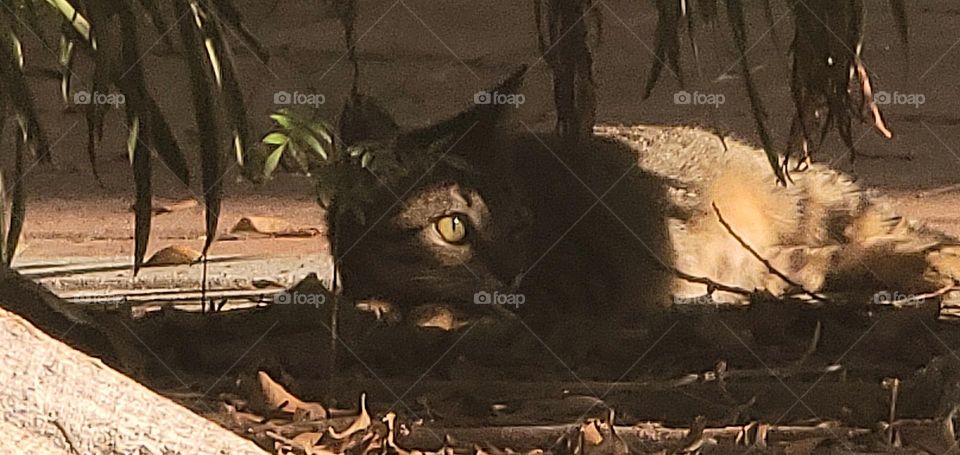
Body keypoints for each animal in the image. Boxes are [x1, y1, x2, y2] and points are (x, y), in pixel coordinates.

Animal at [326, 67, 956, 360]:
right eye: (453, 227)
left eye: (521, 222)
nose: (513, 273)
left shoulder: (567, 297)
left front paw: (425, 314)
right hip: (762, 261)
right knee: (819, 261)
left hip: (813, 205)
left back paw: (931, 266)